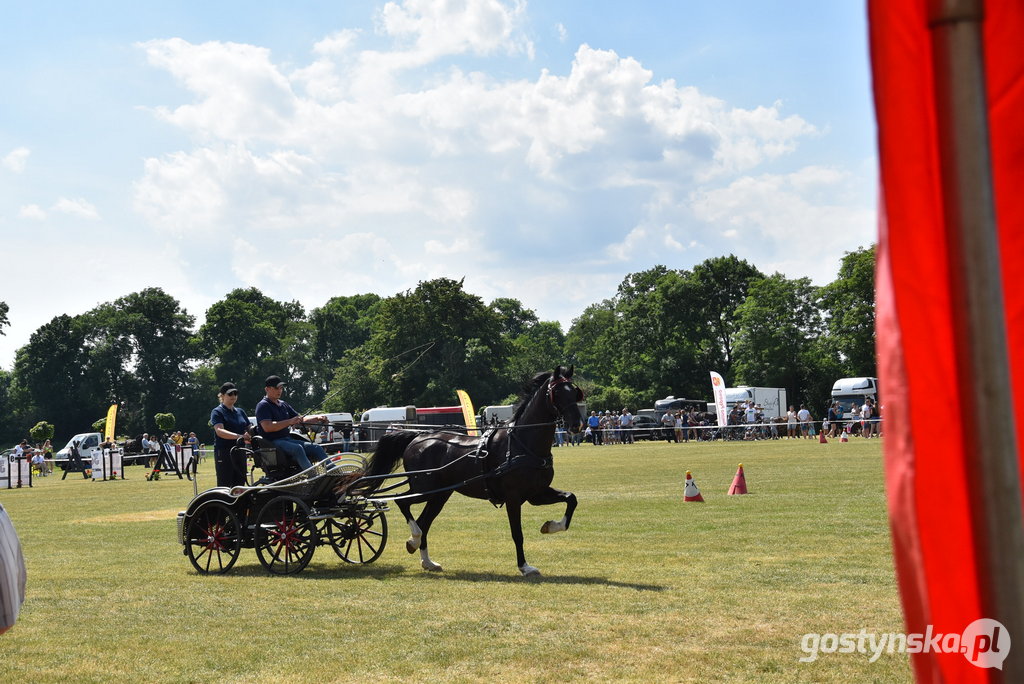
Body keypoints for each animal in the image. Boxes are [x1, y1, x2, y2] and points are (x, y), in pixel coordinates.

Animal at [364, 366, 581, 573]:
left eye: (576, 392)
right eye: (557, 393)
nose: (577, 425)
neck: (521, 443)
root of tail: (417, 437)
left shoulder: (536, 494)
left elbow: (571, 498)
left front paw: (551, 526)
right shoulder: (513, 498)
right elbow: (517, 534)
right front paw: (525, 567)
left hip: (439, 495)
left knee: (424, 521)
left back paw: (427, 561)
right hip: (424, 489)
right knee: (403, 503)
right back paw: (414, 539)